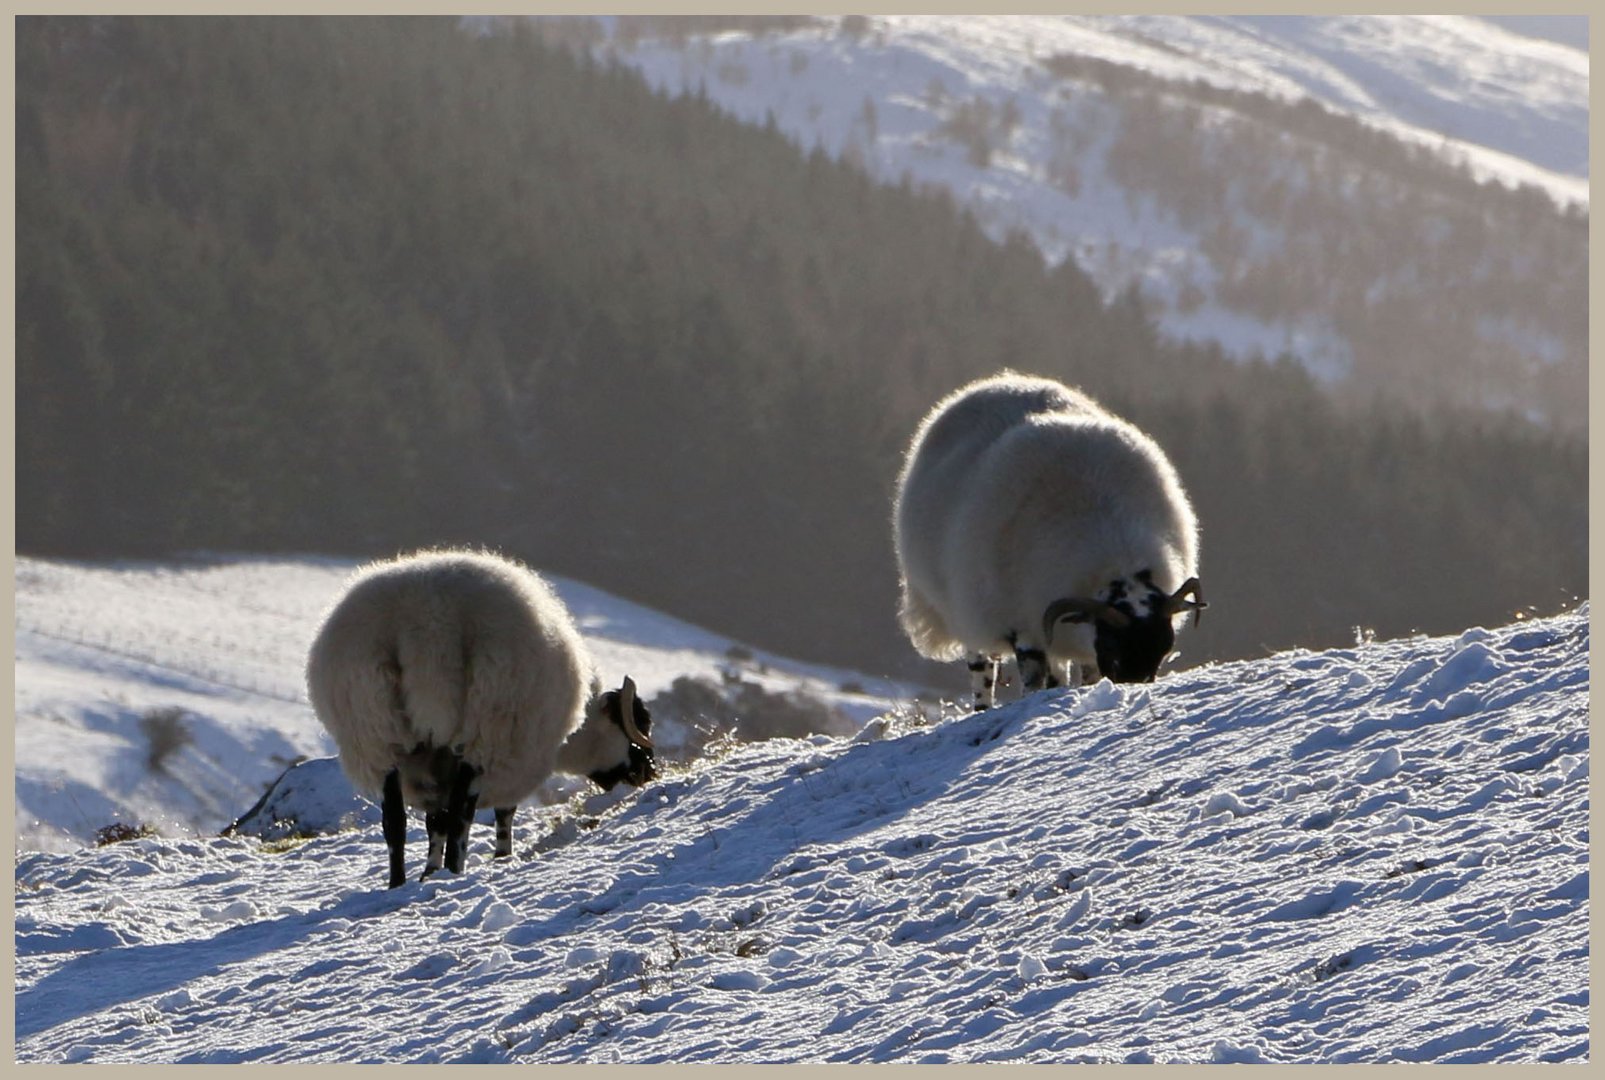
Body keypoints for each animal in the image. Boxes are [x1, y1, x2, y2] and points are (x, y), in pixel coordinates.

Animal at [306, 548, 658, 885]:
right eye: (640, 725)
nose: (648, 774)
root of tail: (429, 622)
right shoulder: (514, 759)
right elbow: (500, 813)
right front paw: (500, 856)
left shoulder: (433, 764)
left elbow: (435, 821)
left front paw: (429, 872)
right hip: (485, 727)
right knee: (462, 814)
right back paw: (454, 870)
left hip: (377, 732)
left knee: (395, 821)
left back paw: (398, 884)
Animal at [892, 370, 1206, 706]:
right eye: (1114, 649)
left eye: (1163, 649)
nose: (1130, 687)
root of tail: (999, 382)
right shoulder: (1024, 627)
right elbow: (1034, 683)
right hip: (968, 609)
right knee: (982, 672)